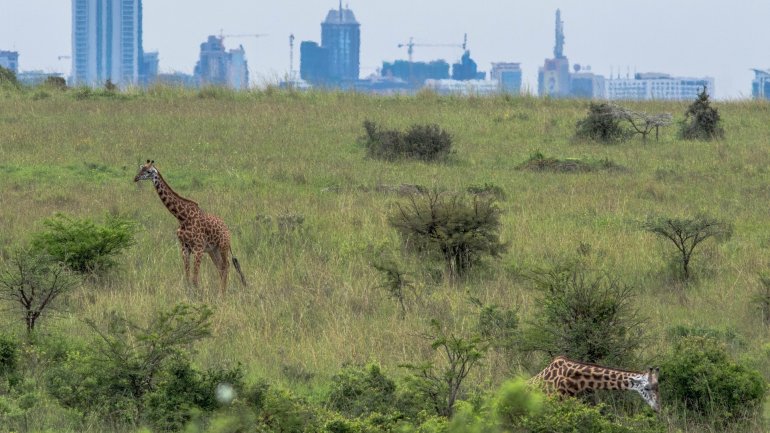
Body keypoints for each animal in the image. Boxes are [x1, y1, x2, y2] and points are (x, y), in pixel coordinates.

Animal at [132, 159, 246, 294]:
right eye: (141, 169)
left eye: (148, 171)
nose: (136, 178)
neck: (182, 217)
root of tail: (227, 230)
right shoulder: (184, 248)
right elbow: (187, 277)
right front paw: (189, 294)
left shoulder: (198, 248)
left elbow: (194, 278)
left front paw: (197, 295)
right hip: (213, 250)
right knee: (221, 267)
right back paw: (221, 293)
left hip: (223, 247)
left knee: (226, 266)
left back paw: (222, 294)